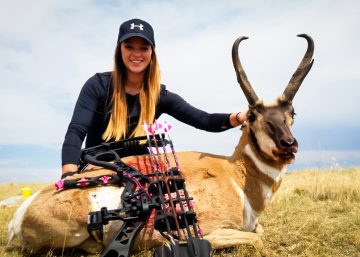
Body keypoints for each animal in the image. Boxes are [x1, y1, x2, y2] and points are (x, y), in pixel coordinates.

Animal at [7, 34, 314, 254]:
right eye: (252, 116)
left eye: (292, 113)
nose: (288, 144)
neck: (234, 175)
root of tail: (22, 212)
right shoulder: (214, 232)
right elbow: (257, 239)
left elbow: (259, 232)